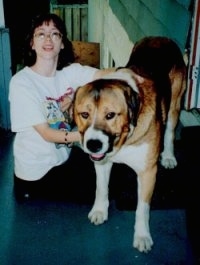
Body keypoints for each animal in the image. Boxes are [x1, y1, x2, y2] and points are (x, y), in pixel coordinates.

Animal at [72, 35, 187, 252]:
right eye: (84, 114)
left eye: (110, 115)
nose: (93, 145)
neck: (125, 139)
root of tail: (162, 38)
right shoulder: (102, 162)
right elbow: (101, 188)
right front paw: (100, 210)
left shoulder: (148, 172)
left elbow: (142, 208)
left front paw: (142, 236)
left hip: (175, 105)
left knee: (169, 132)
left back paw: (168, 156)